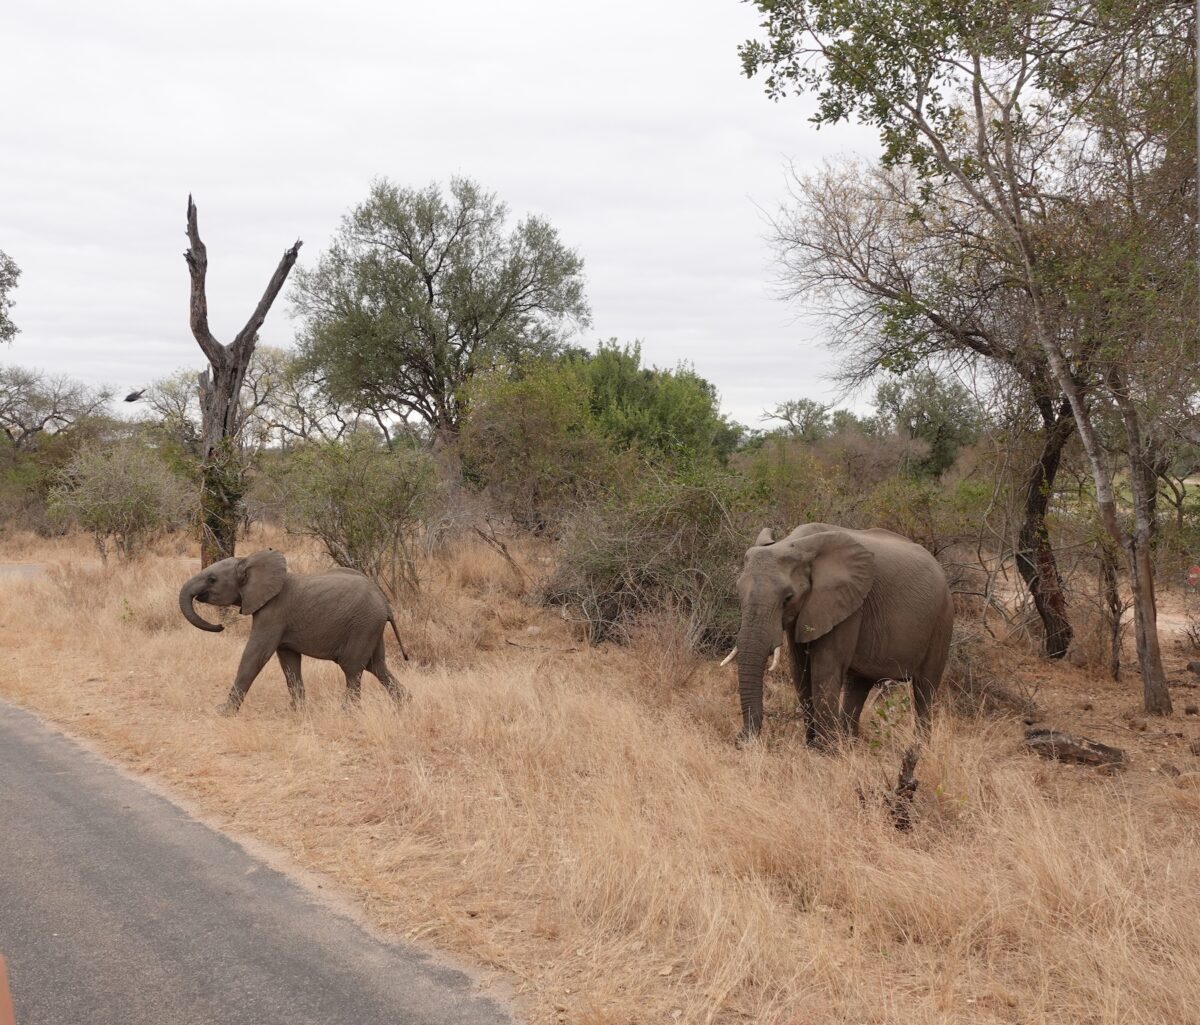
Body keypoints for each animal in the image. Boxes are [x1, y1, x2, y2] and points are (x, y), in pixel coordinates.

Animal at [178, 549, 411, 715]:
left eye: (212, 579)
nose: (220, 626)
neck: (250, 561)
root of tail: (385, 603)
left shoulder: (273, 614)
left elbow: (255, 655)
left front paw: (223, 712)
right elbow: (288, 662)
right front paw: (297, 712)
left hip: (363, 625)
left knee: (353, 668)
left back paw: (348, 713)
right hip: (371, 626)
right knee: (376, 665)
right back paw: (403, 707)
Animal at [733, 523, 953, 748]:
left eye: (788, 598)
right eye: (738, 591)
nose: (741, 738)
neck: (798, 544)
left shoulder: (846, 606)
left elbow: (825, 669)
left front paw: (824, 750)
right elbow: (800, 671)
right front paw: (813, 746)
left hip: (942, 621)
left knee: (925, 689)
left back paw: (917, 749)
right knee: (858, 686)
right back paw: (850, 746)